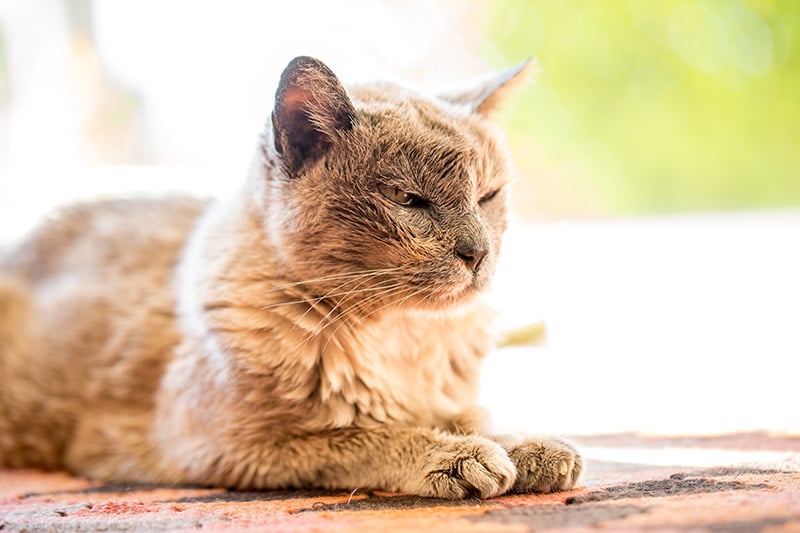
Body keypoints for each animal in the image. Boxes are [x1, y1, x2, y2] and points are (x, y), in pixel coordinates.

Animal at [3, 57, 584, 498]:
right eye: (407, 199)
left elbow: (473, 417)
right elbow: (370, 436)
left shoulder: (448, 399)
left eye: (488, 196)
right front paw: (461, 458)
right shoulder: (234, 448)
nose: (477, 252)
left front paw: (531, 448)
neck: (401, 339)